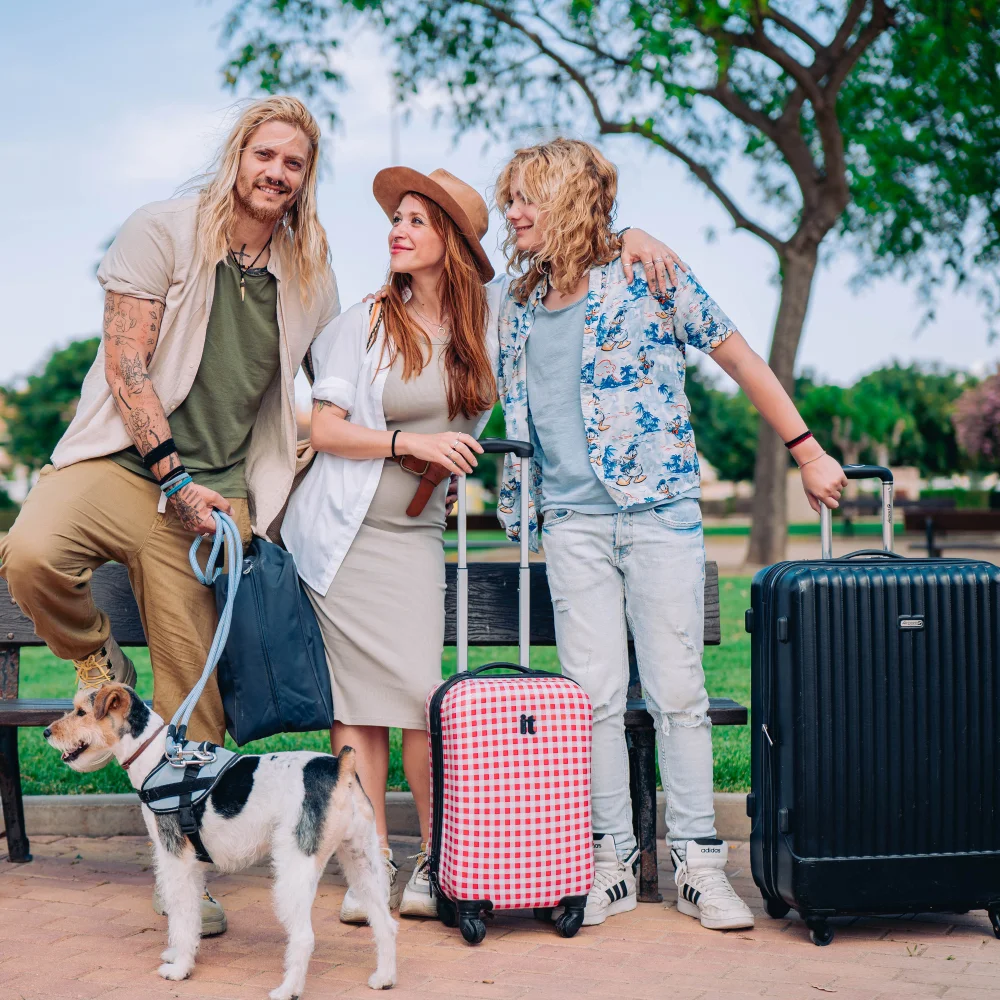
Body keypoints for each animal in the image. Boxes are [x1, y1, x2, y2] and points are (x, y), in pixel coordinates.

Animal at [46, 684, 398, 996]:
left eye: (81, 711)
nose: (47, 732)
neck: (157, 757)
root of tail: (341, 767)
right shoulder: (189, 863)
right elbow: (186, 914)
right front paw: (179, 955)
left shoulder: (175, 858)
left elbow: (182, 914)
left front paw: (179, 968)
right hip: (362, 859)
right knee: (385, 922)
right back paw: (384, 978)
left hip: (296, 867)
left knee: (304, 936)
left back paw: (287, 990)